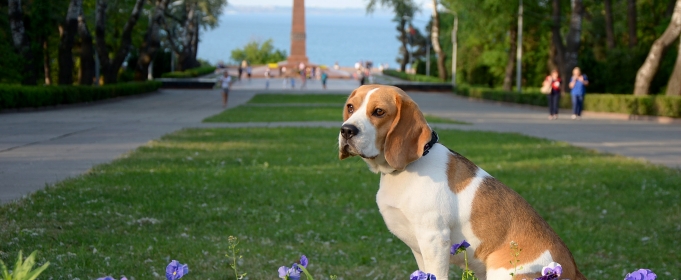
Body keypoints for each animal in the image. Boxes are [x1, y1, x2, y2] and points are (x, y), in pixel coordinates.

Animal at [338, 86, 580, 280]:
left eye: (379, 112)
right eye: (350, 107)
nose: (347, 130)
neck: (404, 170)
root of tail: (575, 271)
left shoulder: (434, 239)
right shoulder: (419, 248)